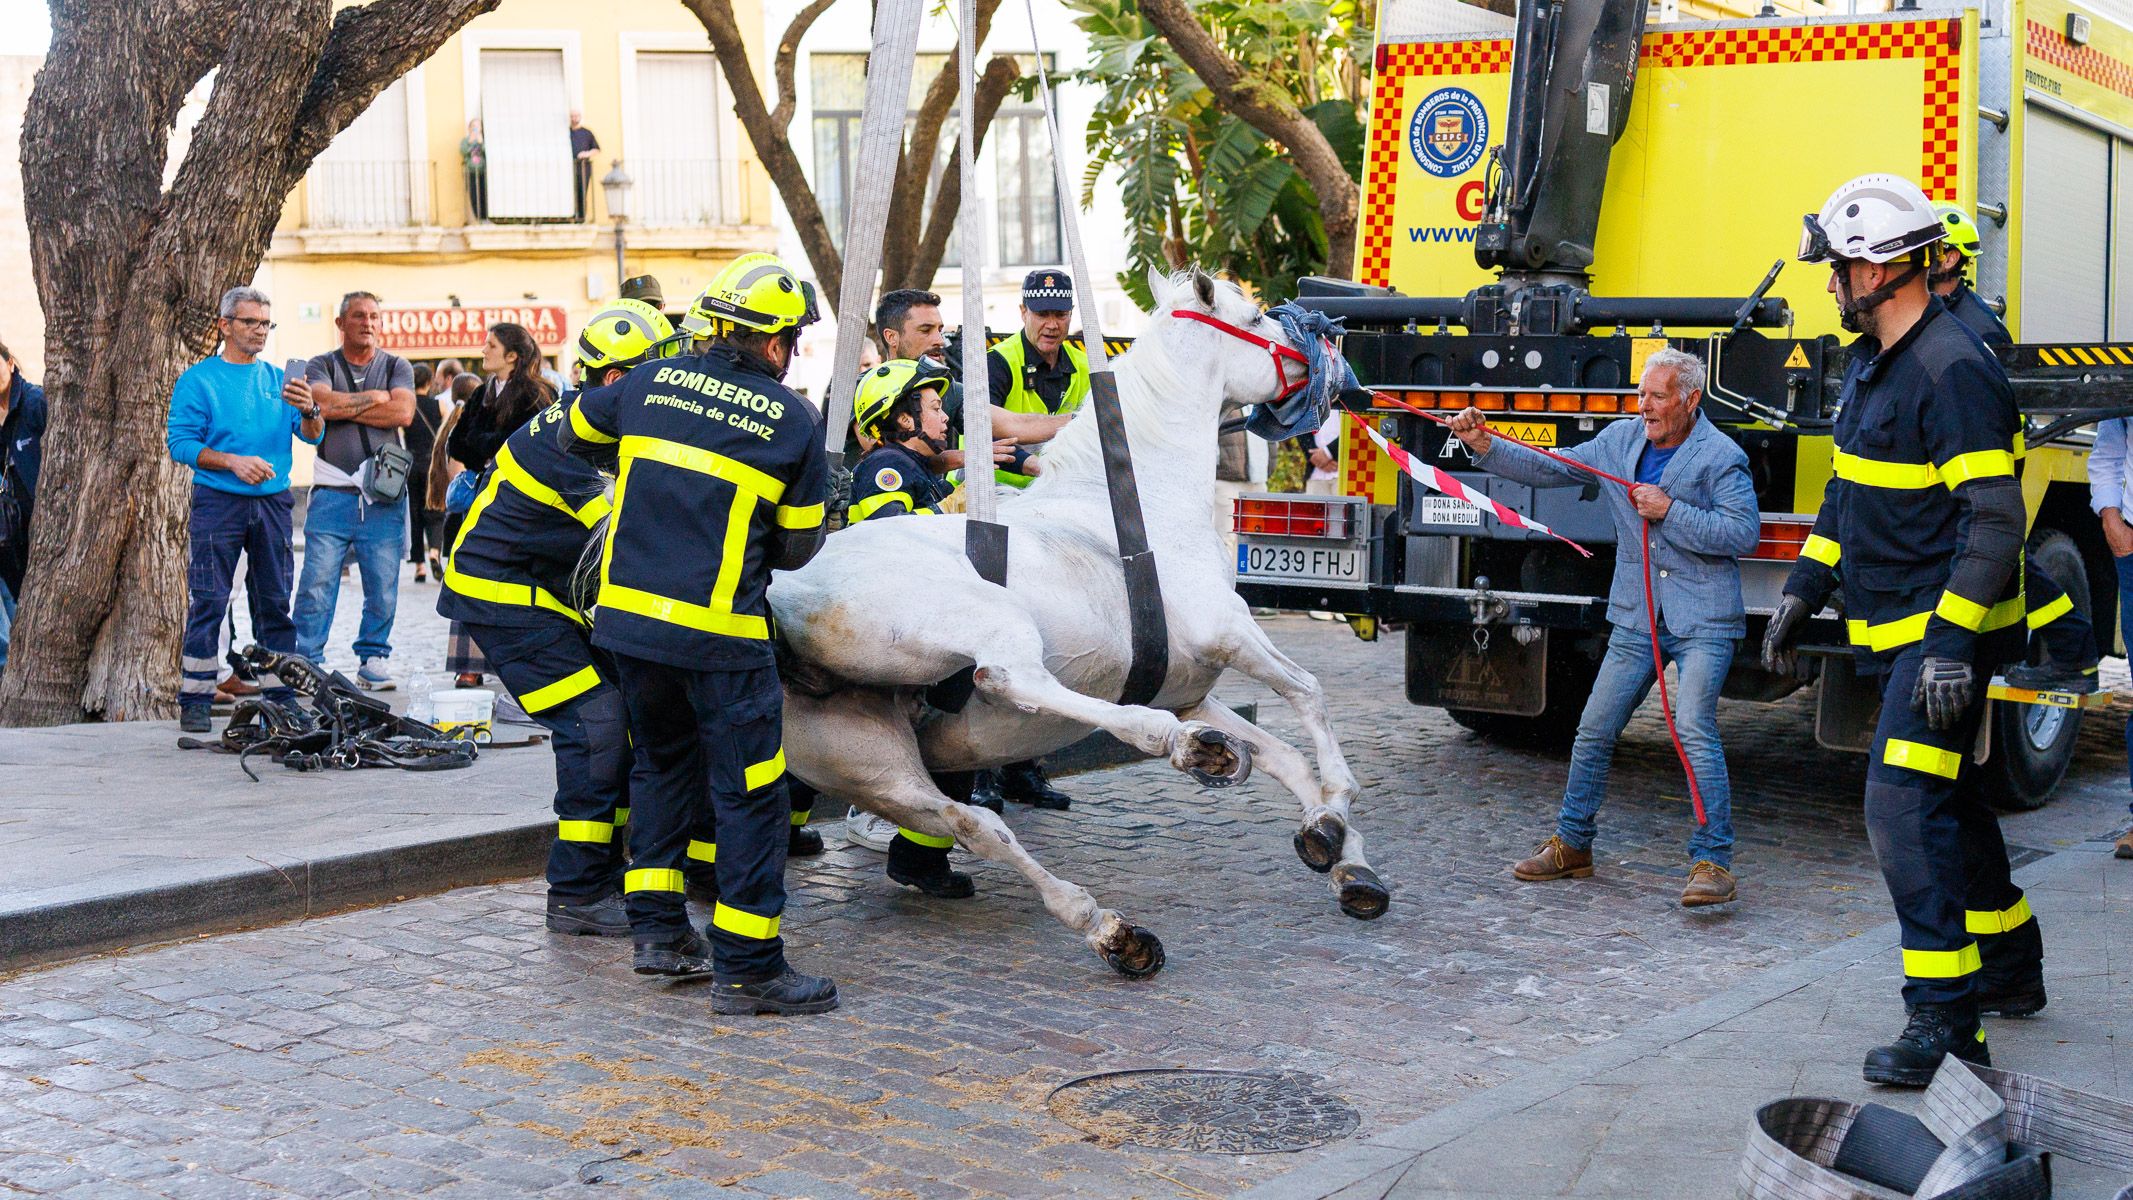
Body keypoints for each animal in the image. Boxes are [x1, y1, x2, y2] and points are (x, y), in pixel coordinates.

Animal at [770, 268, 1385, 976]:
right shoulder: (1230, 633)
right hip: (984, 622)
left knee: (970, 822)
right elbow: (1308, 693)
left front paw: (1341, 854)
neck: (1136, 503)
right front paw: (1338, 807)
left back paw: (1112, 925)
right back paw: (1179, 747)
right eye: (1257, 318)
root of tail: (786, 596)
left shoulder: (1191, 689)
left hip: (869, 764)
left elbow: (1283, 758)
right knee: (1010, 680)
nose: (1345, 375)